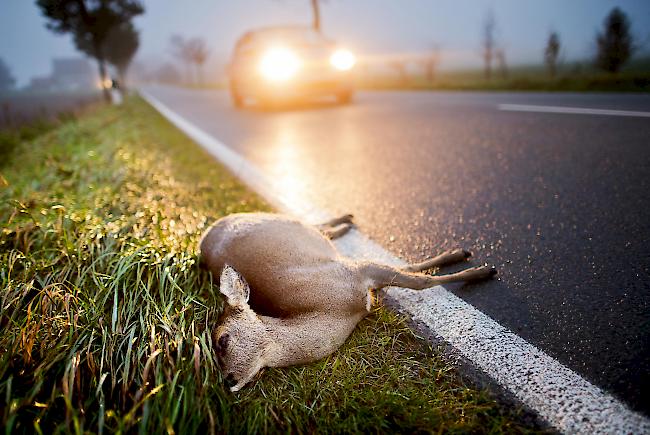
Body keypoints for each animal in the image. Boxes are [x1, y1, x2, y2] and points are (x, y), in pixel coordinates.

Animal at [200, 214, 494, 392]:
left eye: (222, 339)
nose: (227, 381)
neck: (338, 311)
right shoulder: (359, 274)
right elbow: (413, 274)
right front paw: (470, 263)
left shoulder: (356, 271)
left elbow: (419, 281)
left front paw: (479, 269)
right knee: (318, 227)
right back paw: (346, 222)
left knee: (313, 223)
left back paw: (346, 221)